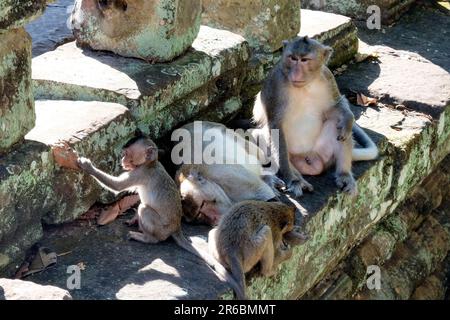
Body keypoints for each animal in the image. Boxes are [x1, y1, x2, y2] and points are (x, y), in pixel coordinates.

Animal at [253, 35, 376, 196]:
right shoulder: (276, 84)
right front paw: (291, 178)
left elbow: (334, 107)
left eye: (304, 60)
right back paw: (297, 179)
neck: (305, 85)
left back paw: (344, 174)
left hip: (322, 152)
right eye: (293, 58)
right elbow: (275, 127)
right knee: (261, 135)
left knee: (336, 123)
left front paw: (348, 119)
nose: (296, 72)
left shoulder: (328, 77)